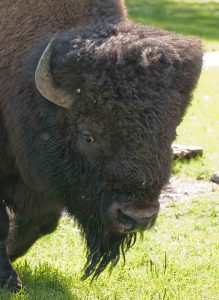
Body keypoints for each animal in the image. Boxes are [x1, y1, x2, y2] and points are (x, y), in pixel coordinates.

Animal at [0, 0, 203, 290]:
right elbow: (4, 222)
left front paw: (13, 254)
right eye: (88, 136)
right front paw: (10, 279)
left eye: (171, 135)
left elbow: (42, 221)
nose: (138, 217)